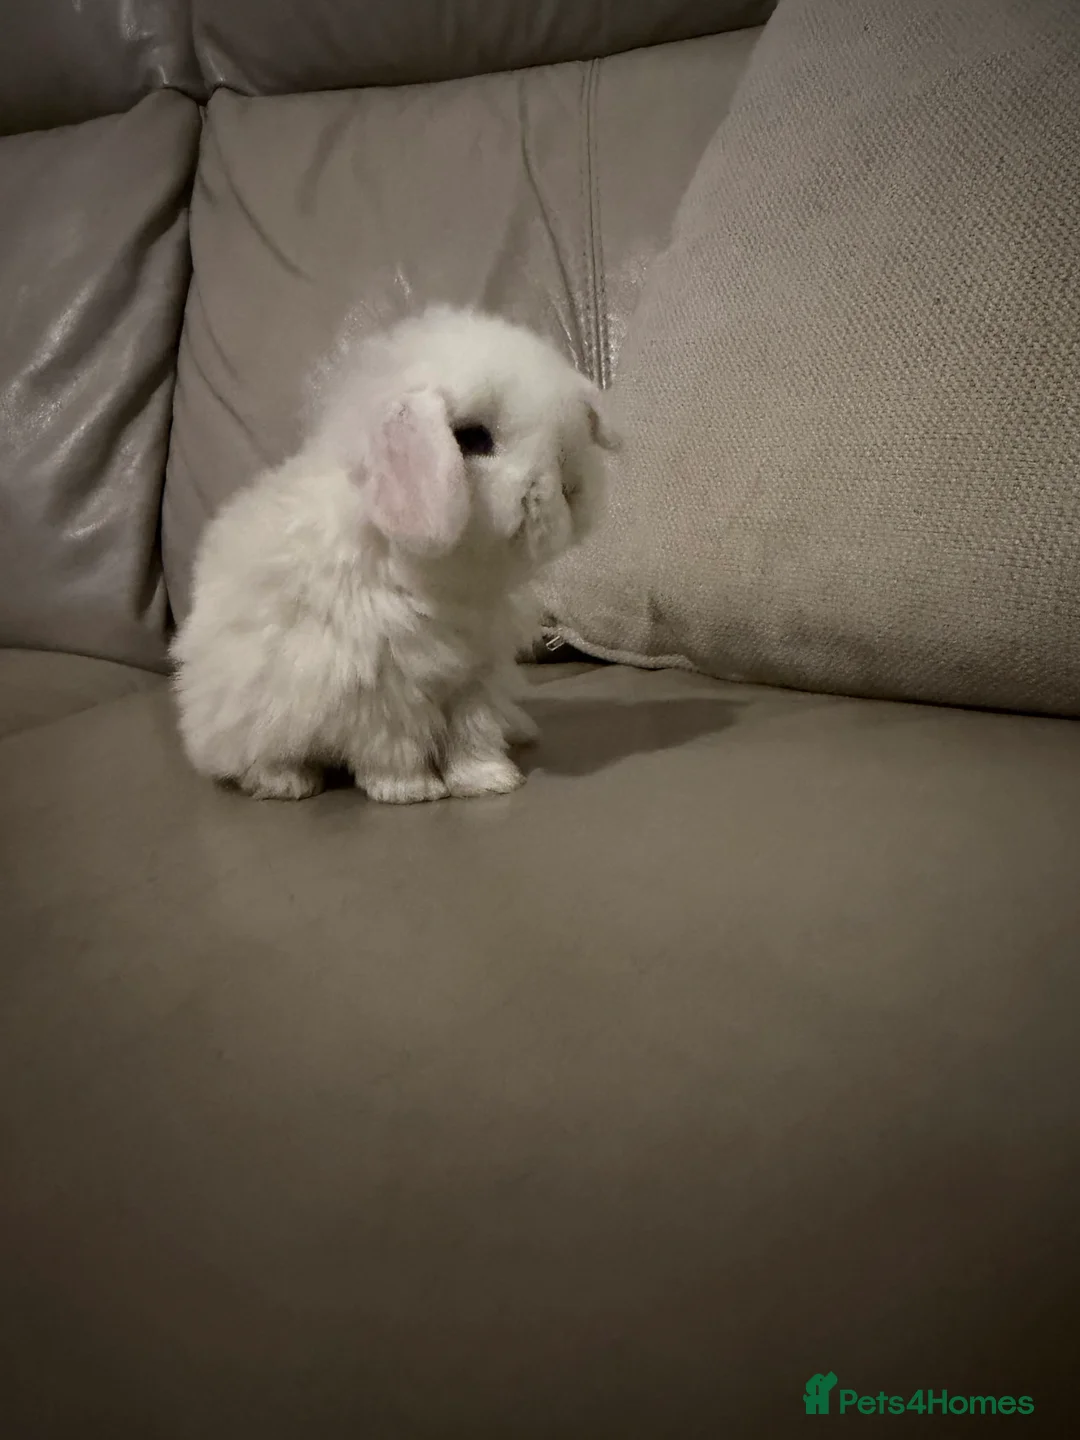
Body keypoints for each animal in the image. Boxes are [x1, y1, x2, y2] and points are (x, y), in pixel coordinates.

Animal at [170, 305, 618, 801]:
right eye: (474, 440)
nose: (568, 488)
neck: (450, 576)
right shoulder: (381, 691)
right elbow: (394, 746)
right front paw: (411, 790)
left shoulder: (473, 679)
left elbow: (473, 734)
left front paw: (491, 781)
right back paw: (289, 782)